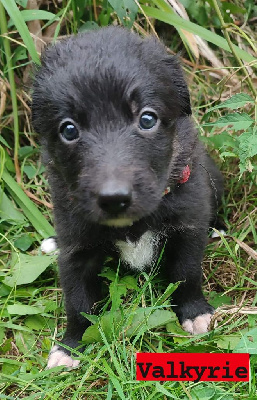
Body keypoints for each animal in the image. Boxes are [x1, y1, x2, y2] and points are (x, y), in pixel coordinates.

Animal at [31, 26, 222, 368]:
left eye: (147, 119)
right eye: (69, 129)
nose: (113, 198)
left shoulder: (187, 226)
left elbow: (186, 273)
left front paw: (195, 313)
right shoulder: (77, 247)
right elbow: (78, 301)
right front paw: (70, 346)